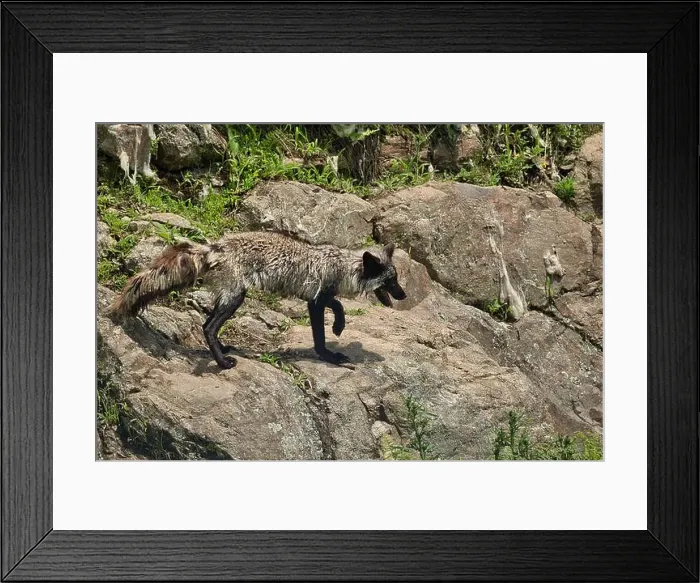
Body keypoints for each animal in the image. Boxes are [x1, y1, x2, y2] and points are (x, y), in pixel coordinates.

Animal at [106, 231, 407, 369]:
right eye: (390, 282)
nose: (403, 295)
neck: (340, 266)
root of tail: (215, 247)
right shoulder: (316, 299)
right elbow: (332, 317)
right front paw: (332, 347)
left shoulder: (318, 298)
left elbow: (336, 307)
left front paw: (336, 333)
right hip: (236, 298)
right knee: (208, 327)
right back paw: (222, 363)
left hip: (229, 297)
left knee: (206, 323)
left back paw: (223, 349)